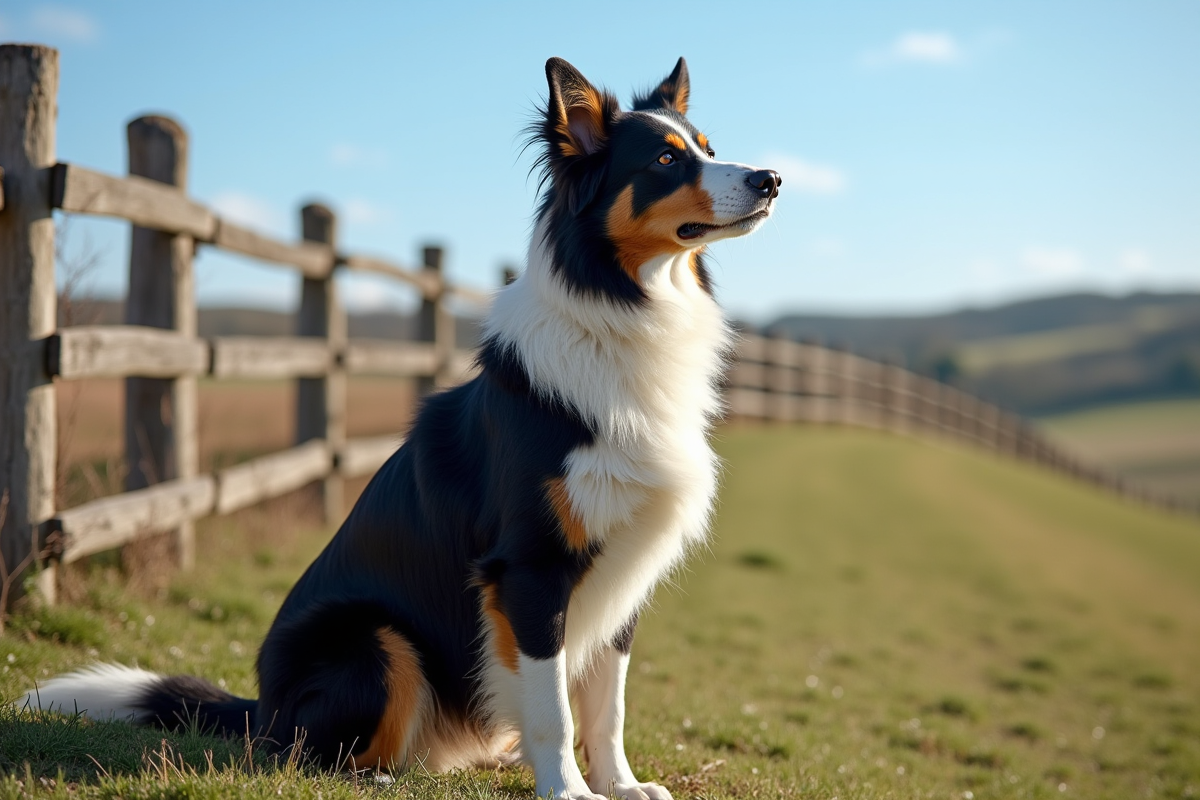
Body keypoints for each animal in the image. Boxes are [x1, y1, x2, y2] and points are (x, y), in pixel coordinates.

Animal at [25, 57, 787, 800]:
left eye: (708, 148)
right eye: (665, 159)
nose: (772, 179)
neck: (625, 309)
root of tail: (261, 708)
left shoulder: (625, 568)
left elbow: (607, 704)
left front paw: (620, 785)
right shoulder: (528, 568)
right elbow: (553, 706)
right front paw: (568, 790)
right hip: (375, 638)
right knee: (305, 755)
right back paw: (379, 772)